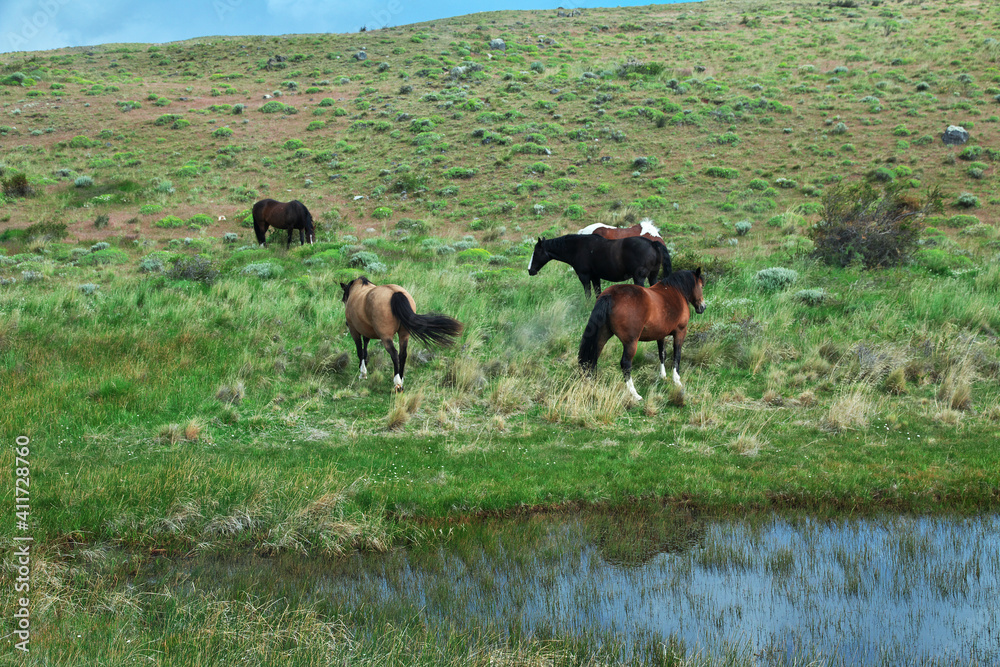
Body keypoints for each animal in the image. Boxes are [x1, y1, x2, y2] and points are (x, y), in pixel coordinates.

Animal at [524, 235, 672, 298]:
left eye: (536, 252)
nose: (530, 270)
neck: (577, 247)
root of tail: (652, 243)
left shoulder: (584, 277)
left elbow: (588, 294)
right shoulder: (595, 277)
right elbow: (597, 293)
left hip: (639, 278)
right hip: (653, 276)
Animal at [576, 268, 708, 404]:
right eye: (701, 285)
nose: (703, 307)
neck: (676, 291)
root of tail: (610, 296)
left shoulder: (661, 334)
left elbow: (662, 354)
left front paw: (663, 376)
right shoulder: (680, 332)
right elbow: (677, 356)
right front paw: (677, 380)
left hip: (602, 335)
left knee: (593, 358)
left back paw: (590, 385)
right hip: (630, 343)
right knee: (625, 364)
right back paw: (634, 394)